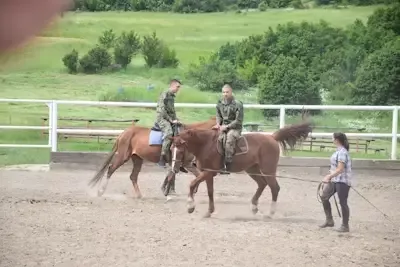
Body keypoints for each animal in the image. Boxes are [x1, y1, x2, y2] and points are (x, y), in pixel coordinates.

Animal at [89, 117, 217, 199]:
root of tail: (124, 133)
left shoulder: (183, 163)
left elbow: (187, 174)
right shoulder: (182, 162)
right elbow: (183, 175)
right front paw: (167, 191)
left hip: (137, 158)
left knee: (133, 176)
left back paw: (139, 195)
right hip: (123, 156)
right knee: (111, 169)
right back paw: (100, 191)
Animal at [169, 120, 312, 219]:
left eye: (180, 150)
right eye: (171, 149)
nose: (174, 168)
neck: (206, 145)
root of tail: (272, 137)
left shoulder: (209, 172)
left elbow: (192, 184)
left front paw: (190, 206)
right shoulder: (208, 174)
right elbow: (210, 192)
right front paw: (209, 212)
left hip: (268, 170)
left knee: (274, 188)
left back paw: (270, 213)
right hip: (252, 169)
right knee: (262, 184)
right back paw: (254, 207)